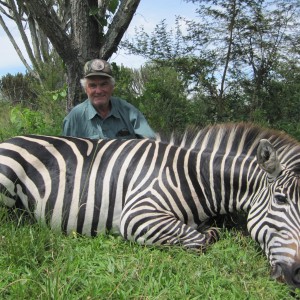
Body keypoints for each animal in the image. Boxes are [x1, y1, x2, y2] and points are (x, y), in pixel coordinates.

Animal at [0, 123, 300, 288]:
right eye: (280, 199)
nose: (297, 275)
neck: (195, 176)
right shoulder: (138, 214)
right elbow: (202, 239)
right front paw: (208, 232)